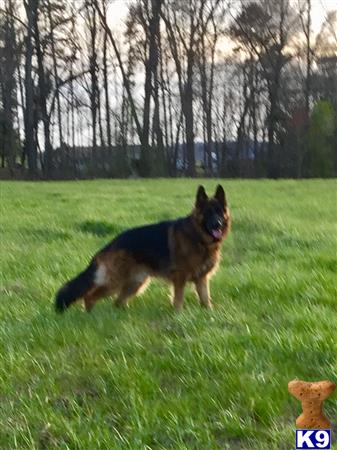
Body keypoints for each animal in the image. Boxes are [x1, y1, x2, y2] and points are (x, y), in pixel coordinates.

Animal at [55, 185, 230, 312]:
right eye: (207, 213)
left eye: (219, 212)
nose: (217, 224)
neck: (198, 237)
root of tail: (108, 246)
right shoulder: (180, 278)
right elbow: (178, 299)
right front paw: (178, 315)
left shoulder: (202, 279)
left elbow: (205, 299)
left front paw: (209, 313)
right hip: (115, 282)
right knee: (90, 296)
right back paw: (90, 314)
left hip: (136, 283)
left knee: (118, 301)